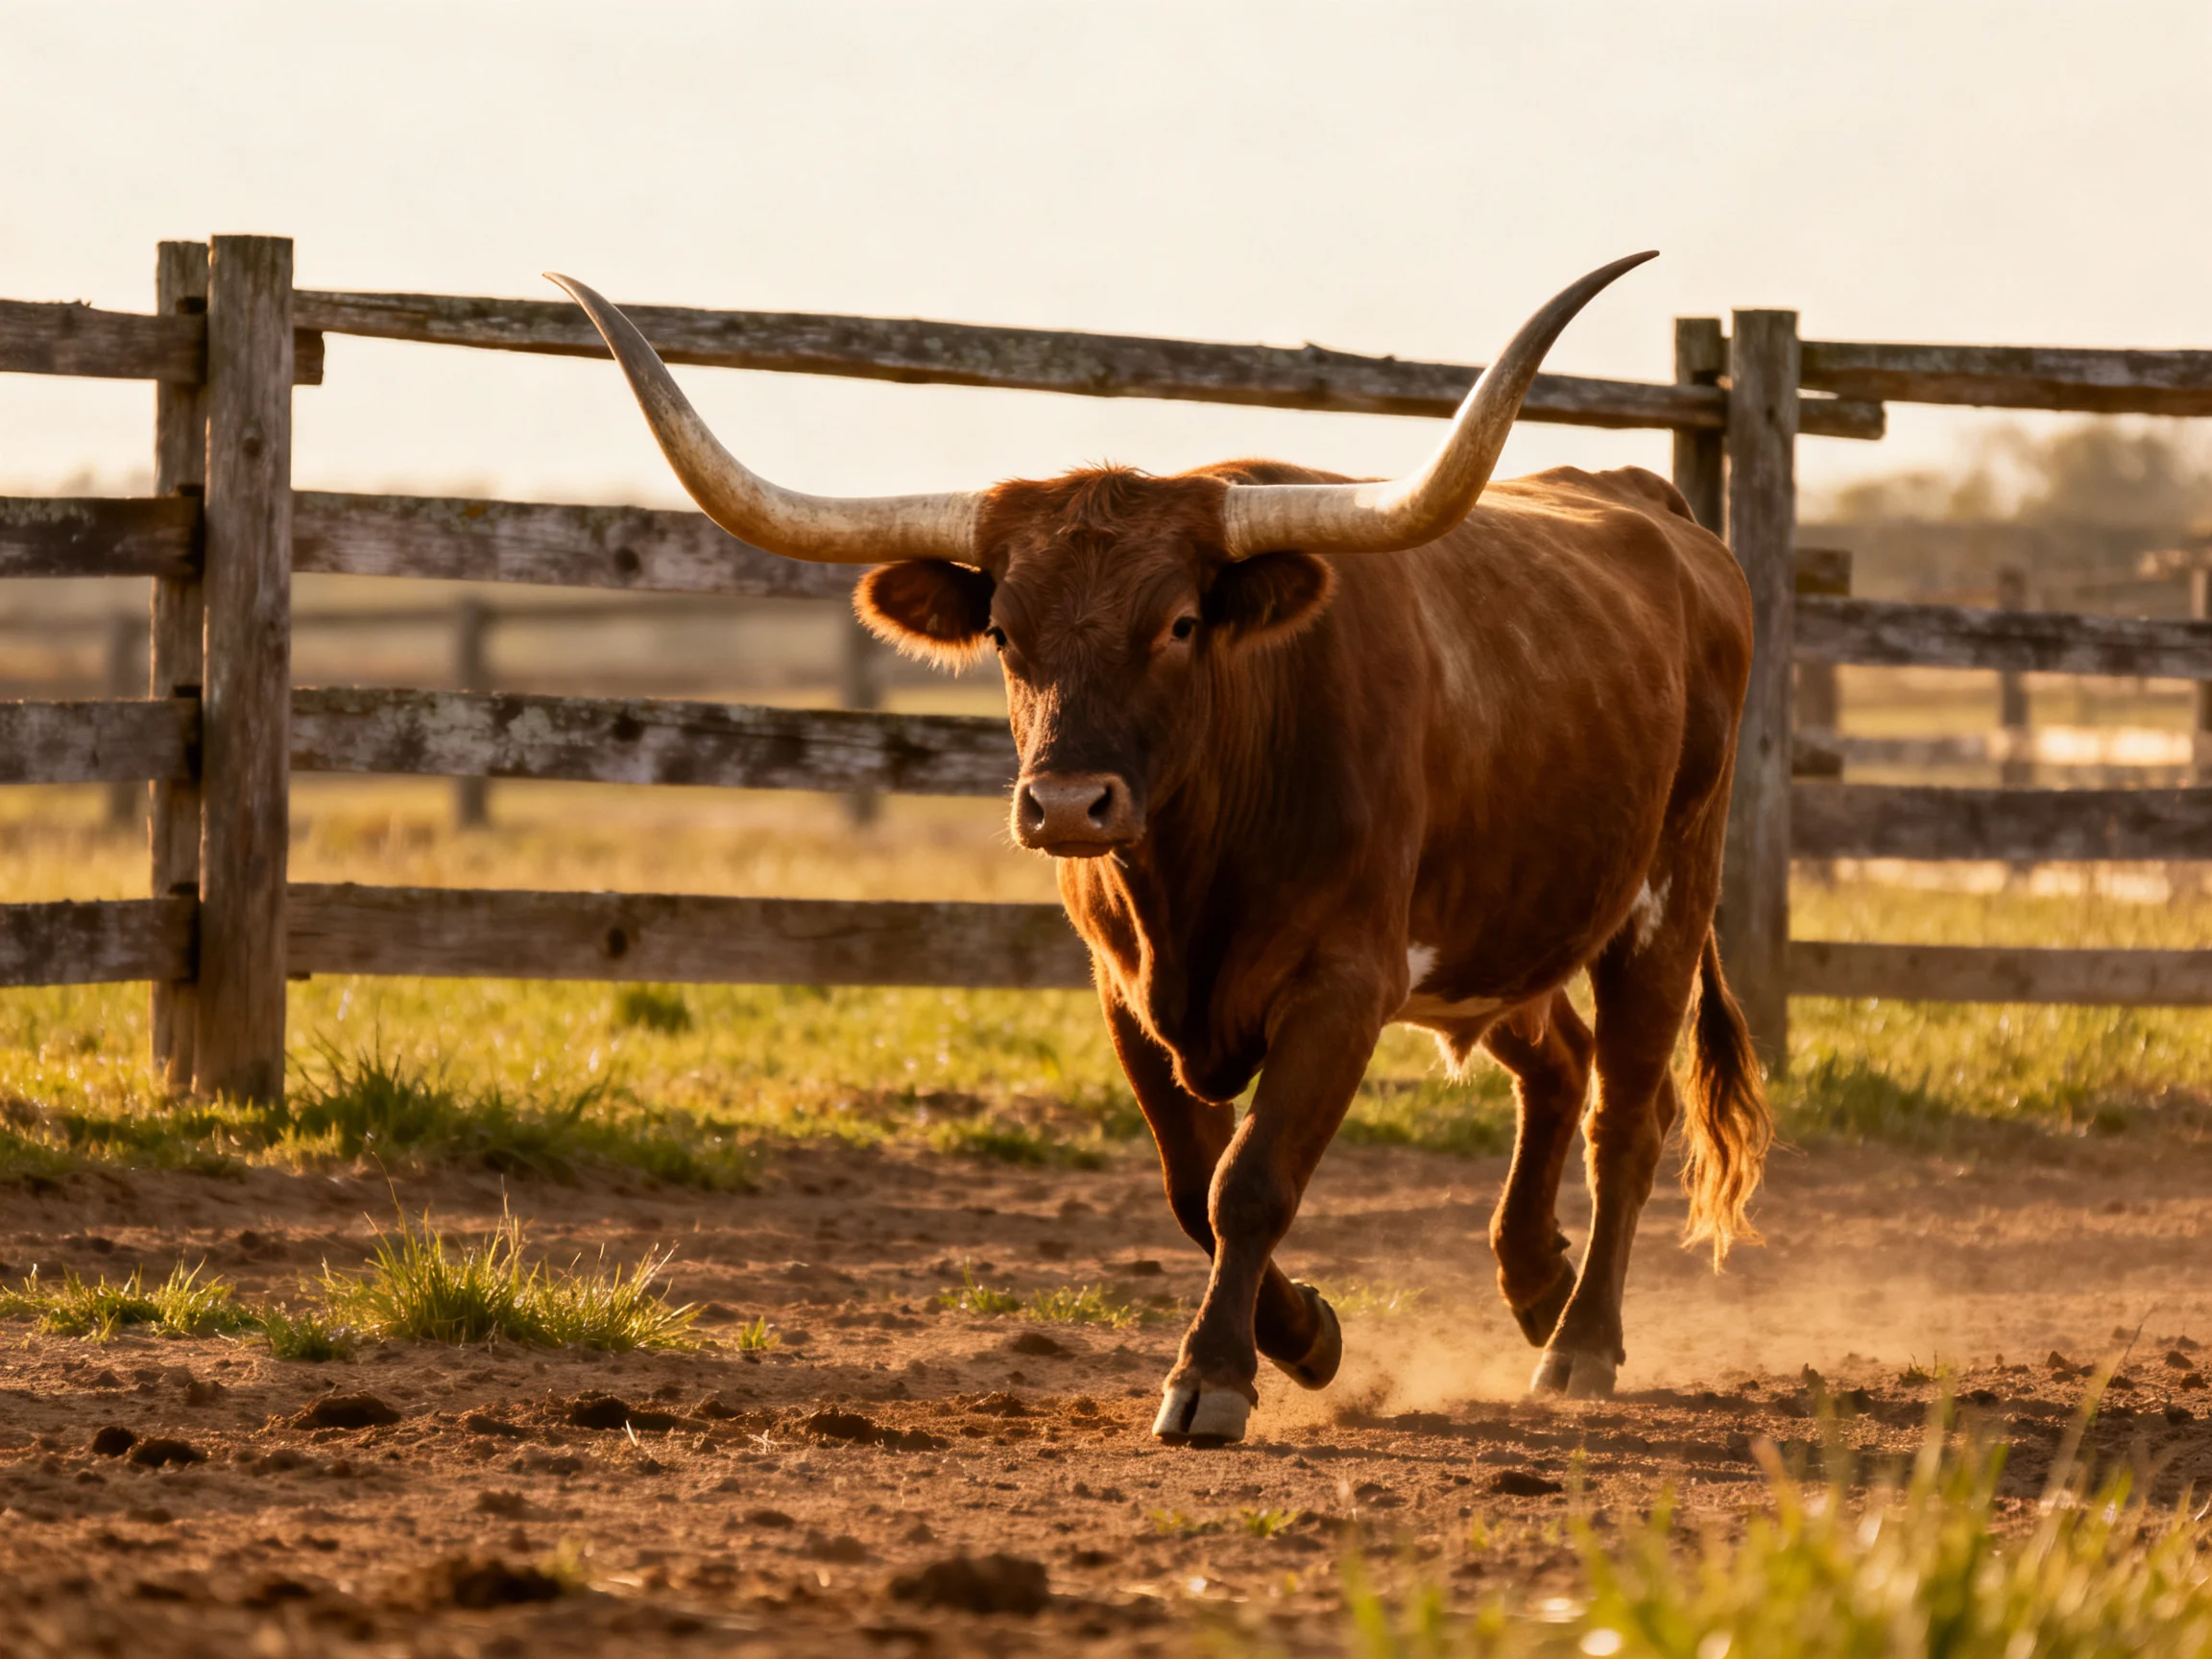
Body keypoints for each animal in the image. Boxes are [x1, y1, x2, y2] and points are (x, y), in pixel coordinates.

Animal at [551, 254, 1771, 1446]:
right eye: (1004, 632)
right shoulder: (1126, 991)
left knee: (1627, 1120)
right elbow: (1191, 1185)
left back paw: (1582, 1343)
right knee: (1558, 1067)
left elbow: (1251, 1180)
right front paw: (1308, 1335)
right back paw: (1534, 1285)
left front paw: (1214, 1376)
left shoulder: (1344, 982)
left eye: (1180, 623)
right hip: (1502, 931)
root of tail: (1651, 503)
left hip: (1668, 897)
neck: (1197, 869)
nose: (1068, 806)